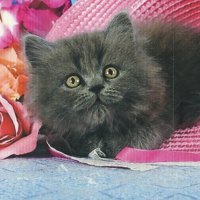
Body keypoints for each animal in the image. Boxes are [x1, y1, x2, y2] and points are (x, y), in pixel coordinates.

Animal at [23, 12, 200, 158]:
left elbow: (138, 138)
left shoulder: (159, 116)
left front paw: (109, 146)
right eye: (72, 81)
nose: (96, 86)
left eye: (110, 72)